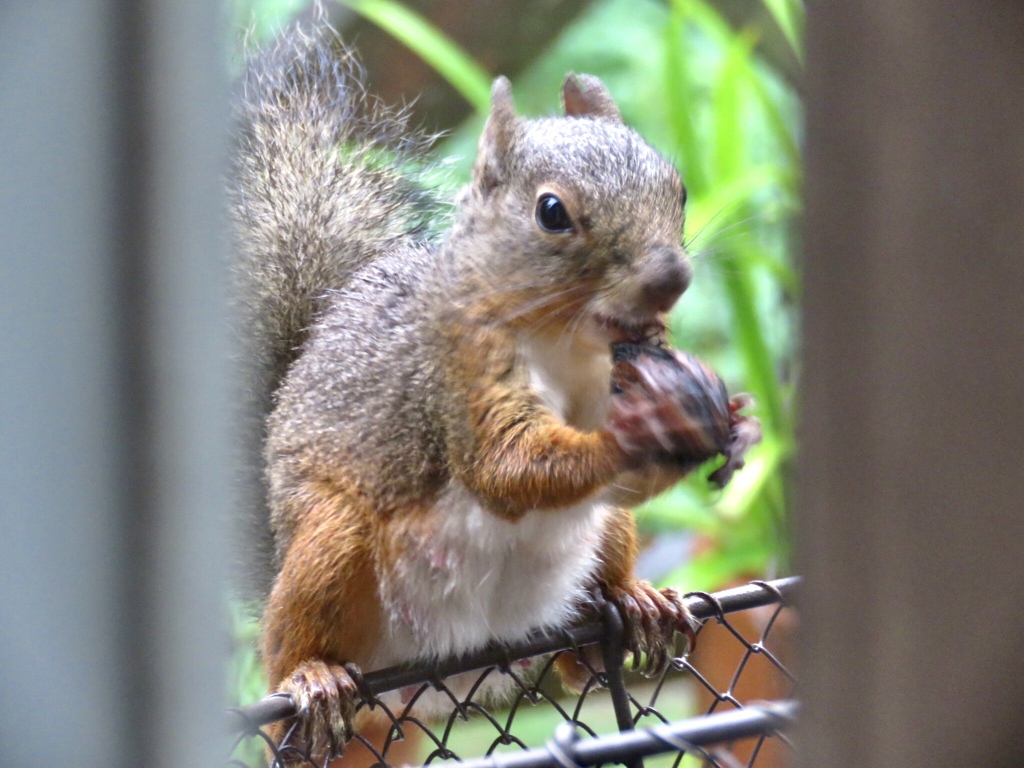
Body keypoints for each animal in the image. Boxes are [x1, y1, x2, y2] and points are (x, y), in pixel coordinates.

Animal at [232, 18, 761, 765]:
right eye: (552, 212)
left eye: (678, 189)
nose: (670, 280)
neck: (567, 342)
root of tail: (449, 673)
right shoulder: (459, 380)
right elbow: (505, 469)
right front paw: (635, 432)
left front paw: (737, 420)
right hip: (329, 541)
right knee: (287, 645)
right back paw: (313, 681)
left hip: (605, 536)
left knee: (579, 656)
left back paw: (634, 606)